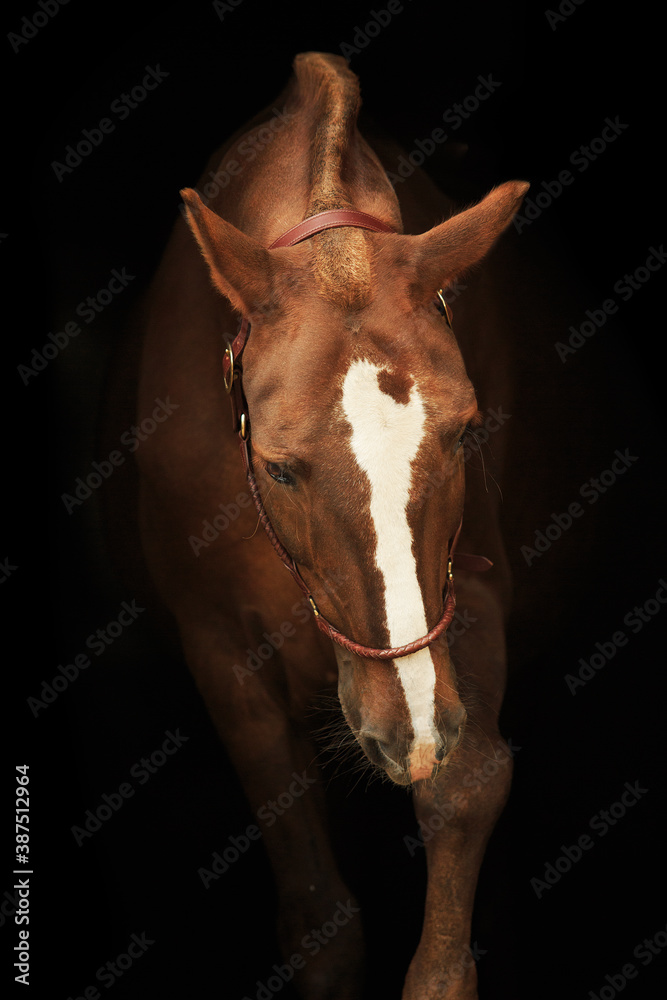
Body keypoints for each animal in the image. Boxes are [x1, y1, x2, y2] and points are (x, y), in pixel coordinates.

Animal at [124, 51, 531, 999]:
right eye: (277, 467)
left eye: (464, 434)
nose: (407, 727)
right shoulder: (220, 649)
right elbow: (318, 918)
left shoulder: (467, 596)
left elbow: (466, 784)